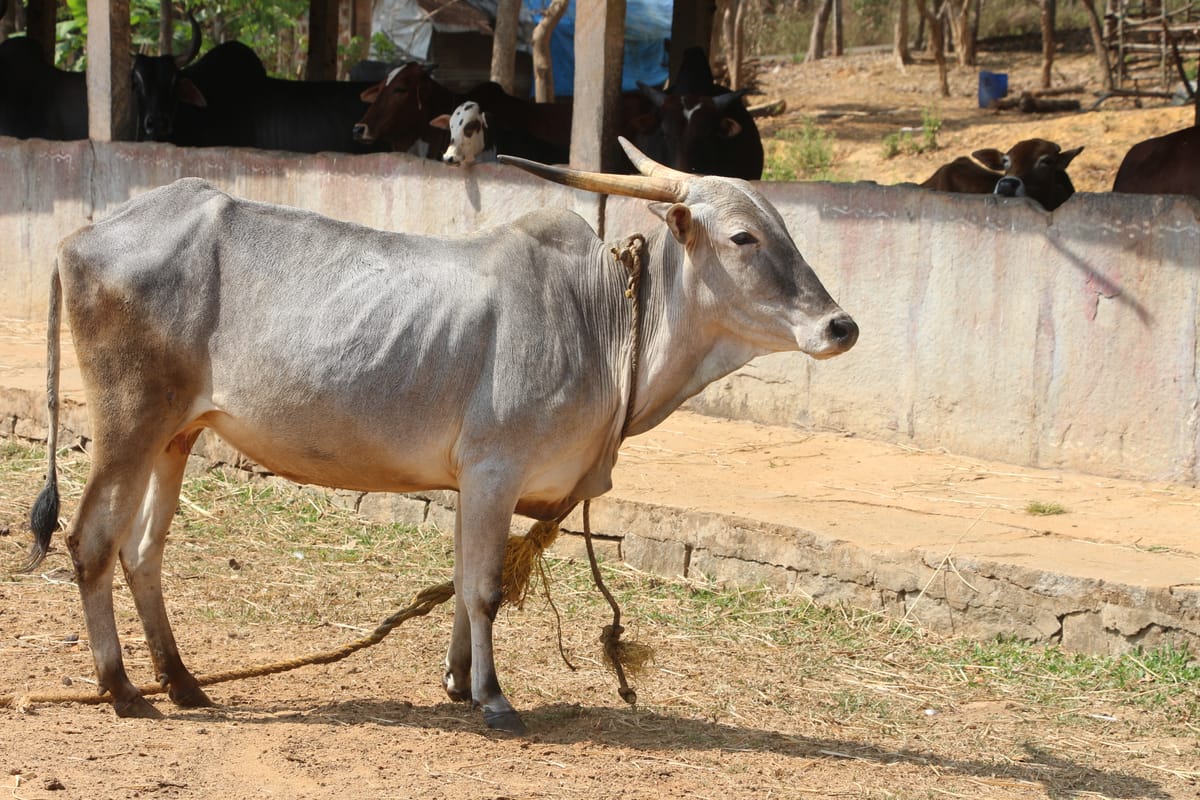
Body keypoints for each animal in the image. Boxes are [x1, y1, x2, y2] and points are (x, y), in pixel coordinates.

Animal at [25, 137, 857, 735]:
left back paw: (183, 681)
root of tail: (83, 234)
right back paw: (123, 688)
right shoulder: (494, 470)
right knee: (90, 542)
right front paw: (493, 698)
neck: (601, 321)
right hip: (129, 420)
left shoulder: (470, 483)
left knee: (142, 552)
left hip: (178, 433)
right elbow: (484, 588)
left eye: (786, 230)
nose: (839, 326)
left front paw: (457, 681)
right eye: (744, 237)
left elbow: (460, 579)